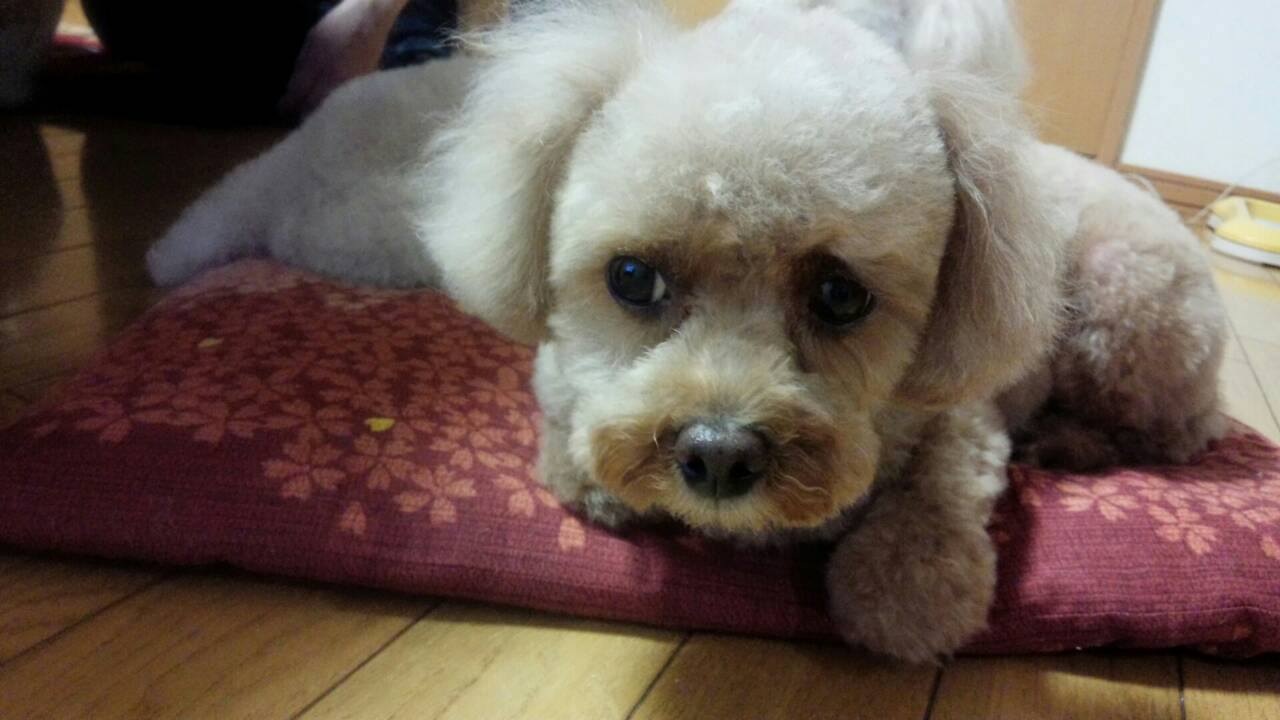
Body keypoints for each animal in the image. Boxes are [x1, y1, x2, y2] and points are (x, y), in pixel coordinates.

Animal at [146, 0, 1227, 662]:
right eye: (632, 279)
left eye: (842, 296)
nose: (715, 455)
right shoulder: (561, 368)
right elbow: (570, 424)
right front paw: (591, 473)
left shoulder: (961, 411)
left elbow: (934, 497)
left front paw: (907, 592)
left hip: (1130, 306)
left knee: (1179, 434)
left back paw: (1078, 443)